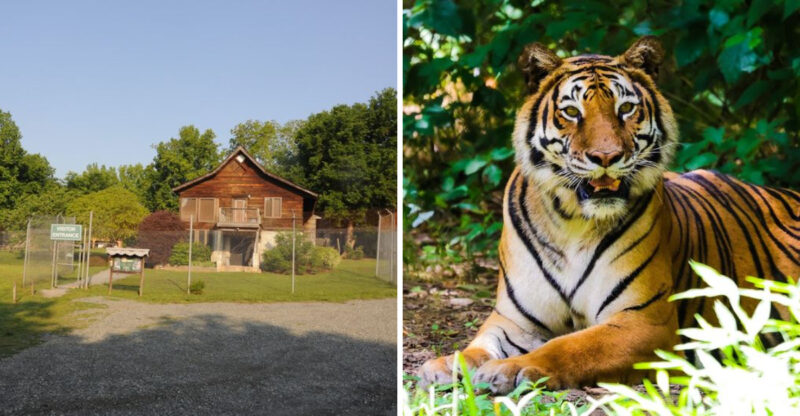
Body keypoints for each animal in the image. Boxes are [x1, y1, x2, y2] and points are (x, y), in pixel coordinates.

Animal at [417, 36, 800, 393]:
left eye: (626, 108)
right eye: (572, 112)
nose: (606, 156)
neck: (571, 222)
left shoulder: (645, 322)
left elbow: (570, 346)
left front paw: (509, 369)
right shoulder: (515, 321)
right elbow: (478, 346)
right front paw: (444, 364)